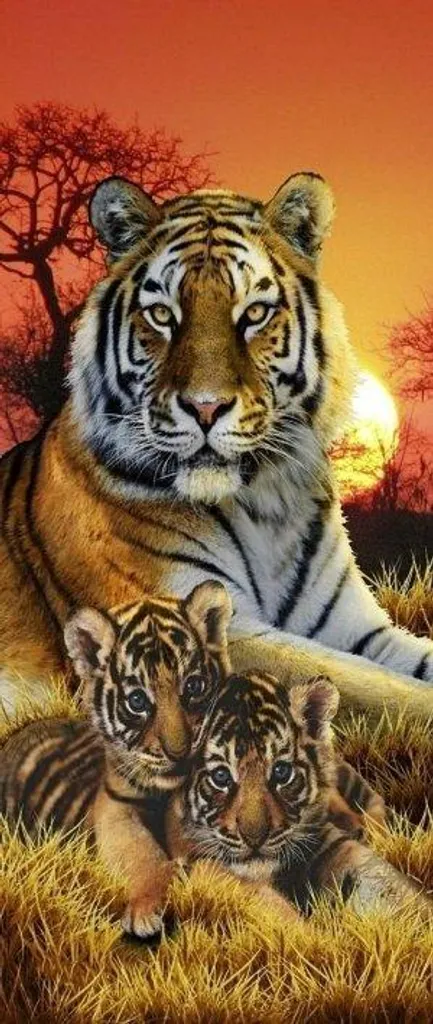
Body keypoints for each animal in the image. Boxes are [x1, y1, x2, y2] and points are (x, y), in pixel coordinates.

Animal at [0, 579, 233, 937]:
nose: (179, 753)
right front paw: (147, 909)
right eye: (137, 701)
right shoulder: (116, 808)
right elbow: (141, 854)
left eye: (194, 687)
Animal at [1, 172, 433, 726]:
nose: (205, 408)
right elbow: (376, 689)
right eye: (162, 315)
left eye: (254, 313)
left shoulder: (355, 627)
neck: (266, 505)